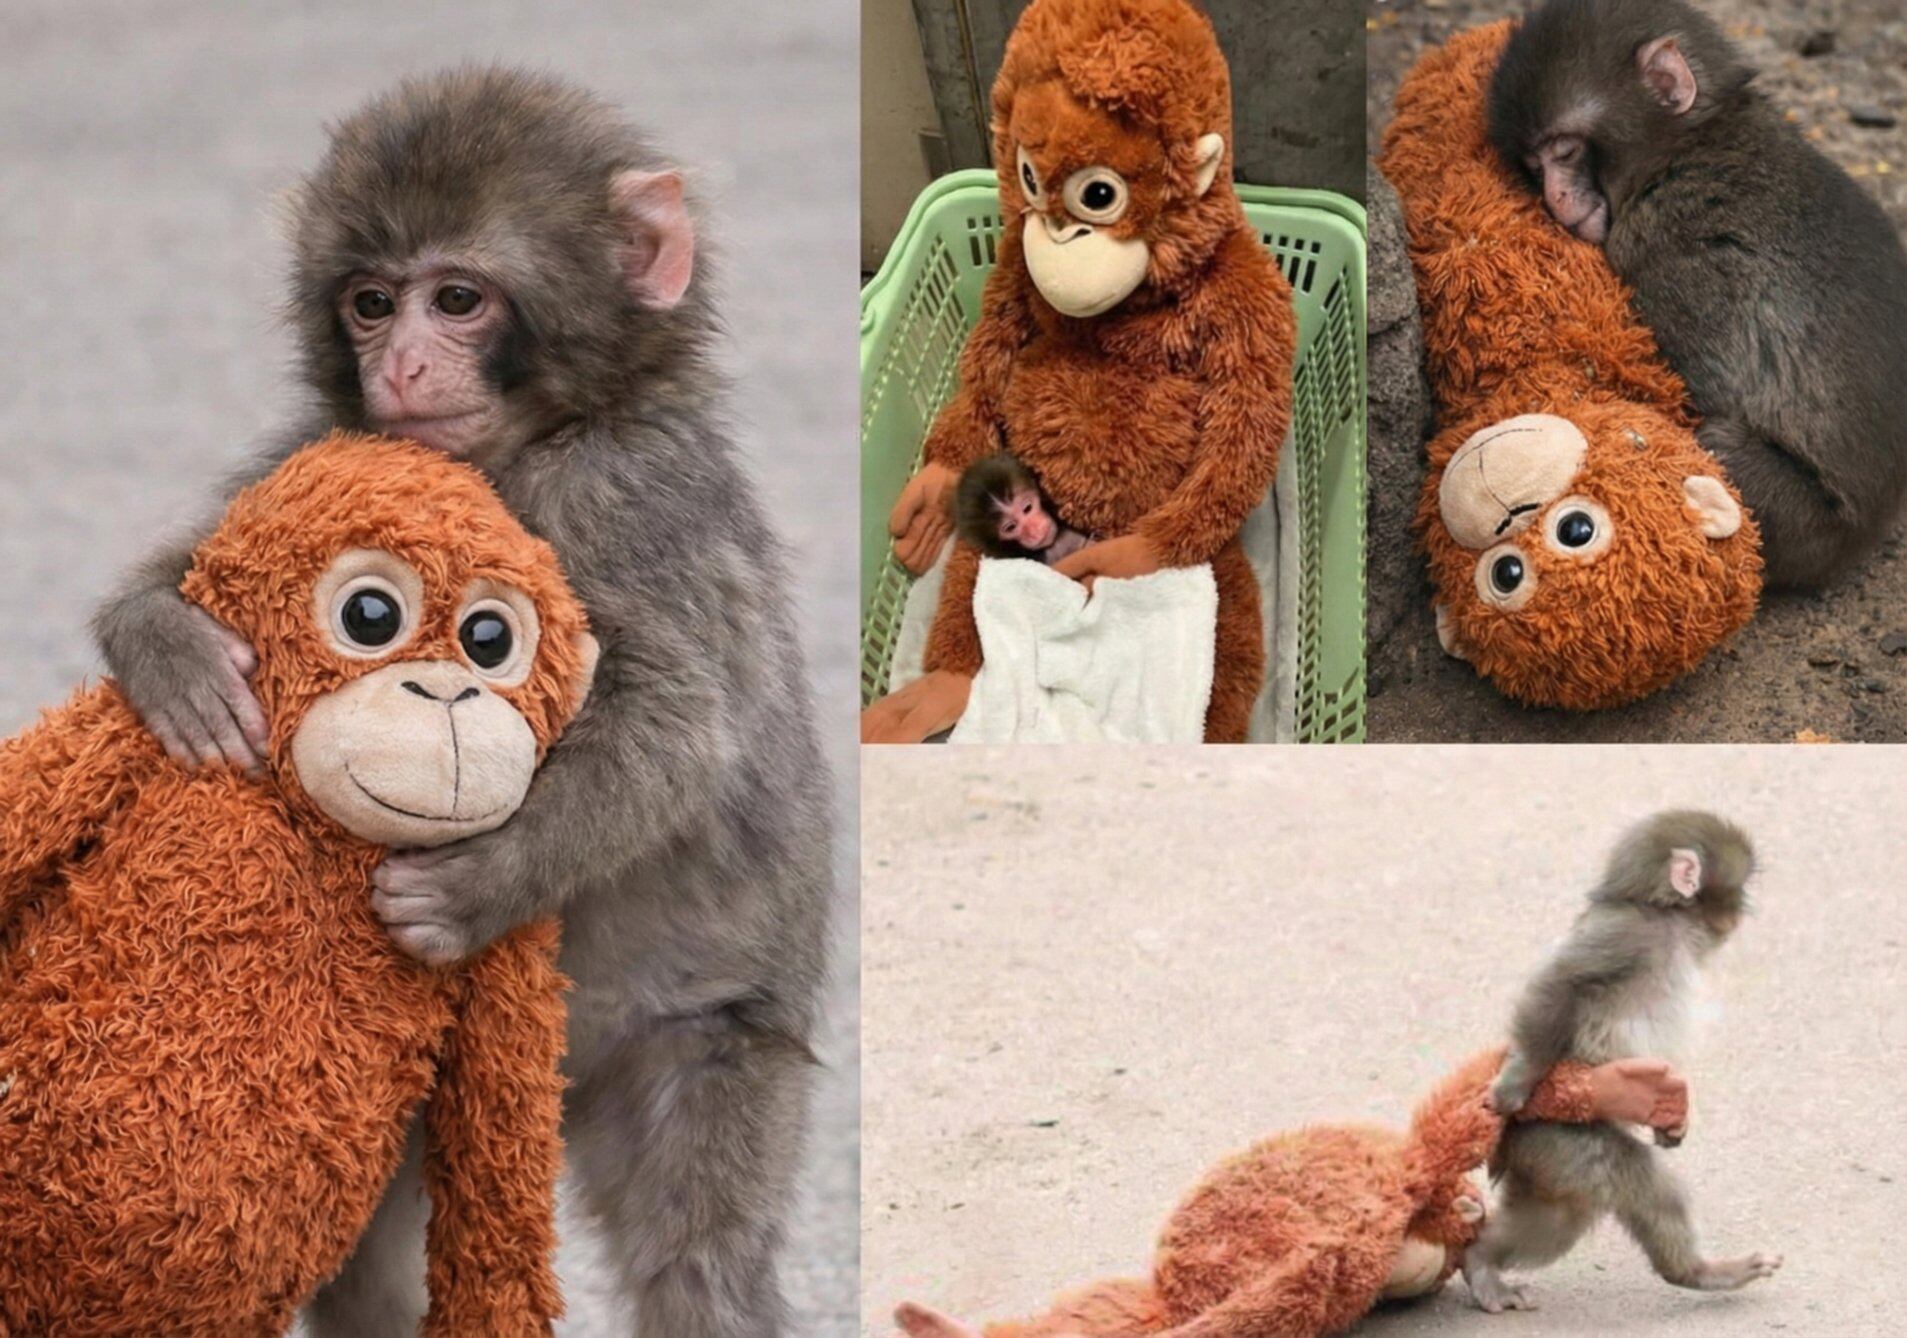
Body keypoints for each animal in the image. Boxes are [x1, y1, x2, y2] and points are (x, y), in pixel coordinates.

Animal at [87, 68, 832, 1336]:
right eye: (370, 302)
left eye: (458, 299)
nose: (400, 369)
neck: (522, 448)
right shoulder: (333, 452)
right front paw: (168, 649)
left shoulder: (628, 494)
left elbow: (680, 727)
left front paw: (474, 887)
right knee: (358, 1251)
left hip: (700, 1035)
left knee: (701, 1265)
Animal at [1462, 809, 1782, 1312]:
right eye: (1742, 885)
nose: (1744, 910)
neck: (1667, 919)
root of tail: (1514, 1149)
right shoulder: (1628, 935)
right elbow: (1562, 980)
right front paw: (1515, 1082)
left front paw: (1672, 1123)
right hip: (1561, 1137)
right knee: (1638, 1181)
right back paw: (1698, 1272)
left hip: (1548, 1161)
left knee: (1556, 1217)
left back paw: (1482, 1255)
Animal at [1488, 0, 1907, 590]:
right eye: (1533, 164)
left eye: (1564, 151)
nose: (1554, 198)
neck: (1689, 144)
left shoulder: (1674, 248)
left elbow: (1699, 391)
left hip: (1802, 520)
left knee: (1715, 445)